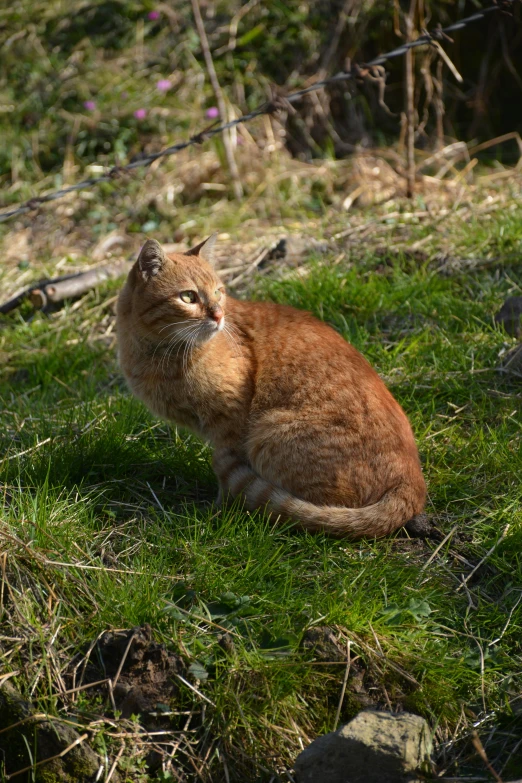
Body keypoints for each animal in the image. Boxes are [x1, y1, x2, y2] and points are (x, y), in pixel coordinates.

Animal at [117, 236, 422, 536]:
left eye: (218, 292)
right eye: (188, 296)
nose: (218, 316)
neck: (159, 355)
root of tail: (413, 484)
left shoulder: (230, 425)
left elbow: (227, 476)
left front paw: (218, 512)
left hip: (268, 432)